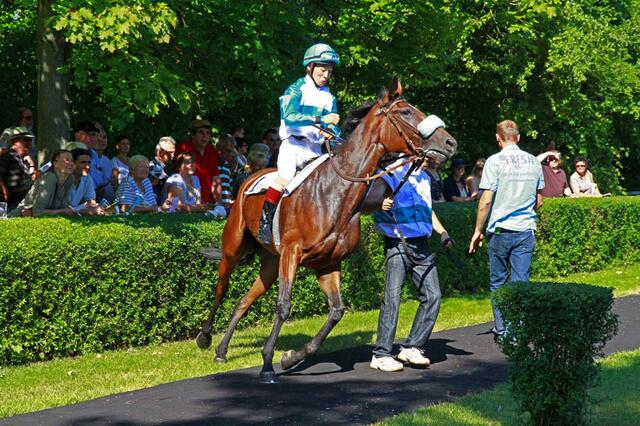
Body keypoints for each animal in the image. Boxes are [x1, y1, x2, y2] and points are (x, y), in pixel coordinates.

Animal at [196, 78, 457, 383]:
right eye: (406, 112)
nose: (450, 142)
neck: (334, 192)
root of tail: (250, 177)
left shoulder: (327, 263)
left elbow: (336, 311)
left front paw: (291, 357)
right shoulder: (292, 253)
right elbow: (283, 306)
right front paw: (268, 364)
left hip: (270, 263)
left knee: (243, 301)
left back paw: (222, 350)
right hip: (233, 247)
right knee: (222, 289)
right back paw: (205, 337)